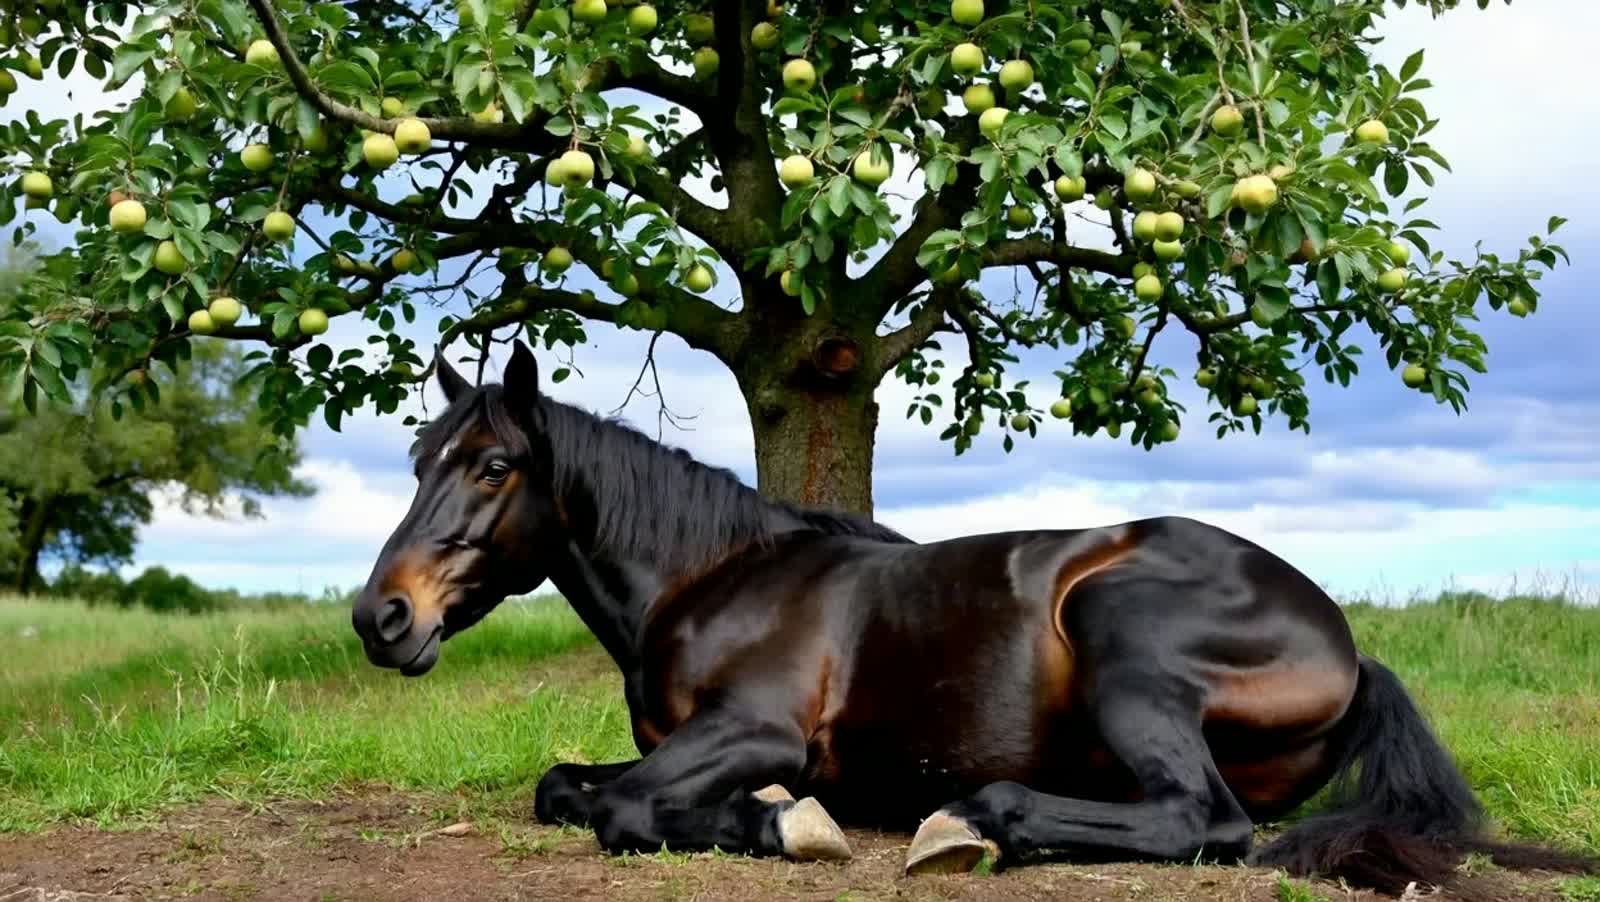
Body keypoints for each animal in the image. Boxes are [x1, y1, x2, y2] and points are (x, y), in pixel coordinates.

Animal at [350, 340, 1595, 895]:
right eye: (417, 461)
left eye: (494, 464)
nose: (380, 616)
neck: (712, 579)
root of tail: (1347, 644)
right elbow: (566, 784)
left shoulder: (756, 730)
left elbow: (622, 806)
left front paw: (790, 824)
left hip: (1123, 636)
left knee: (1204, 820)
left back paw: (969, 824)